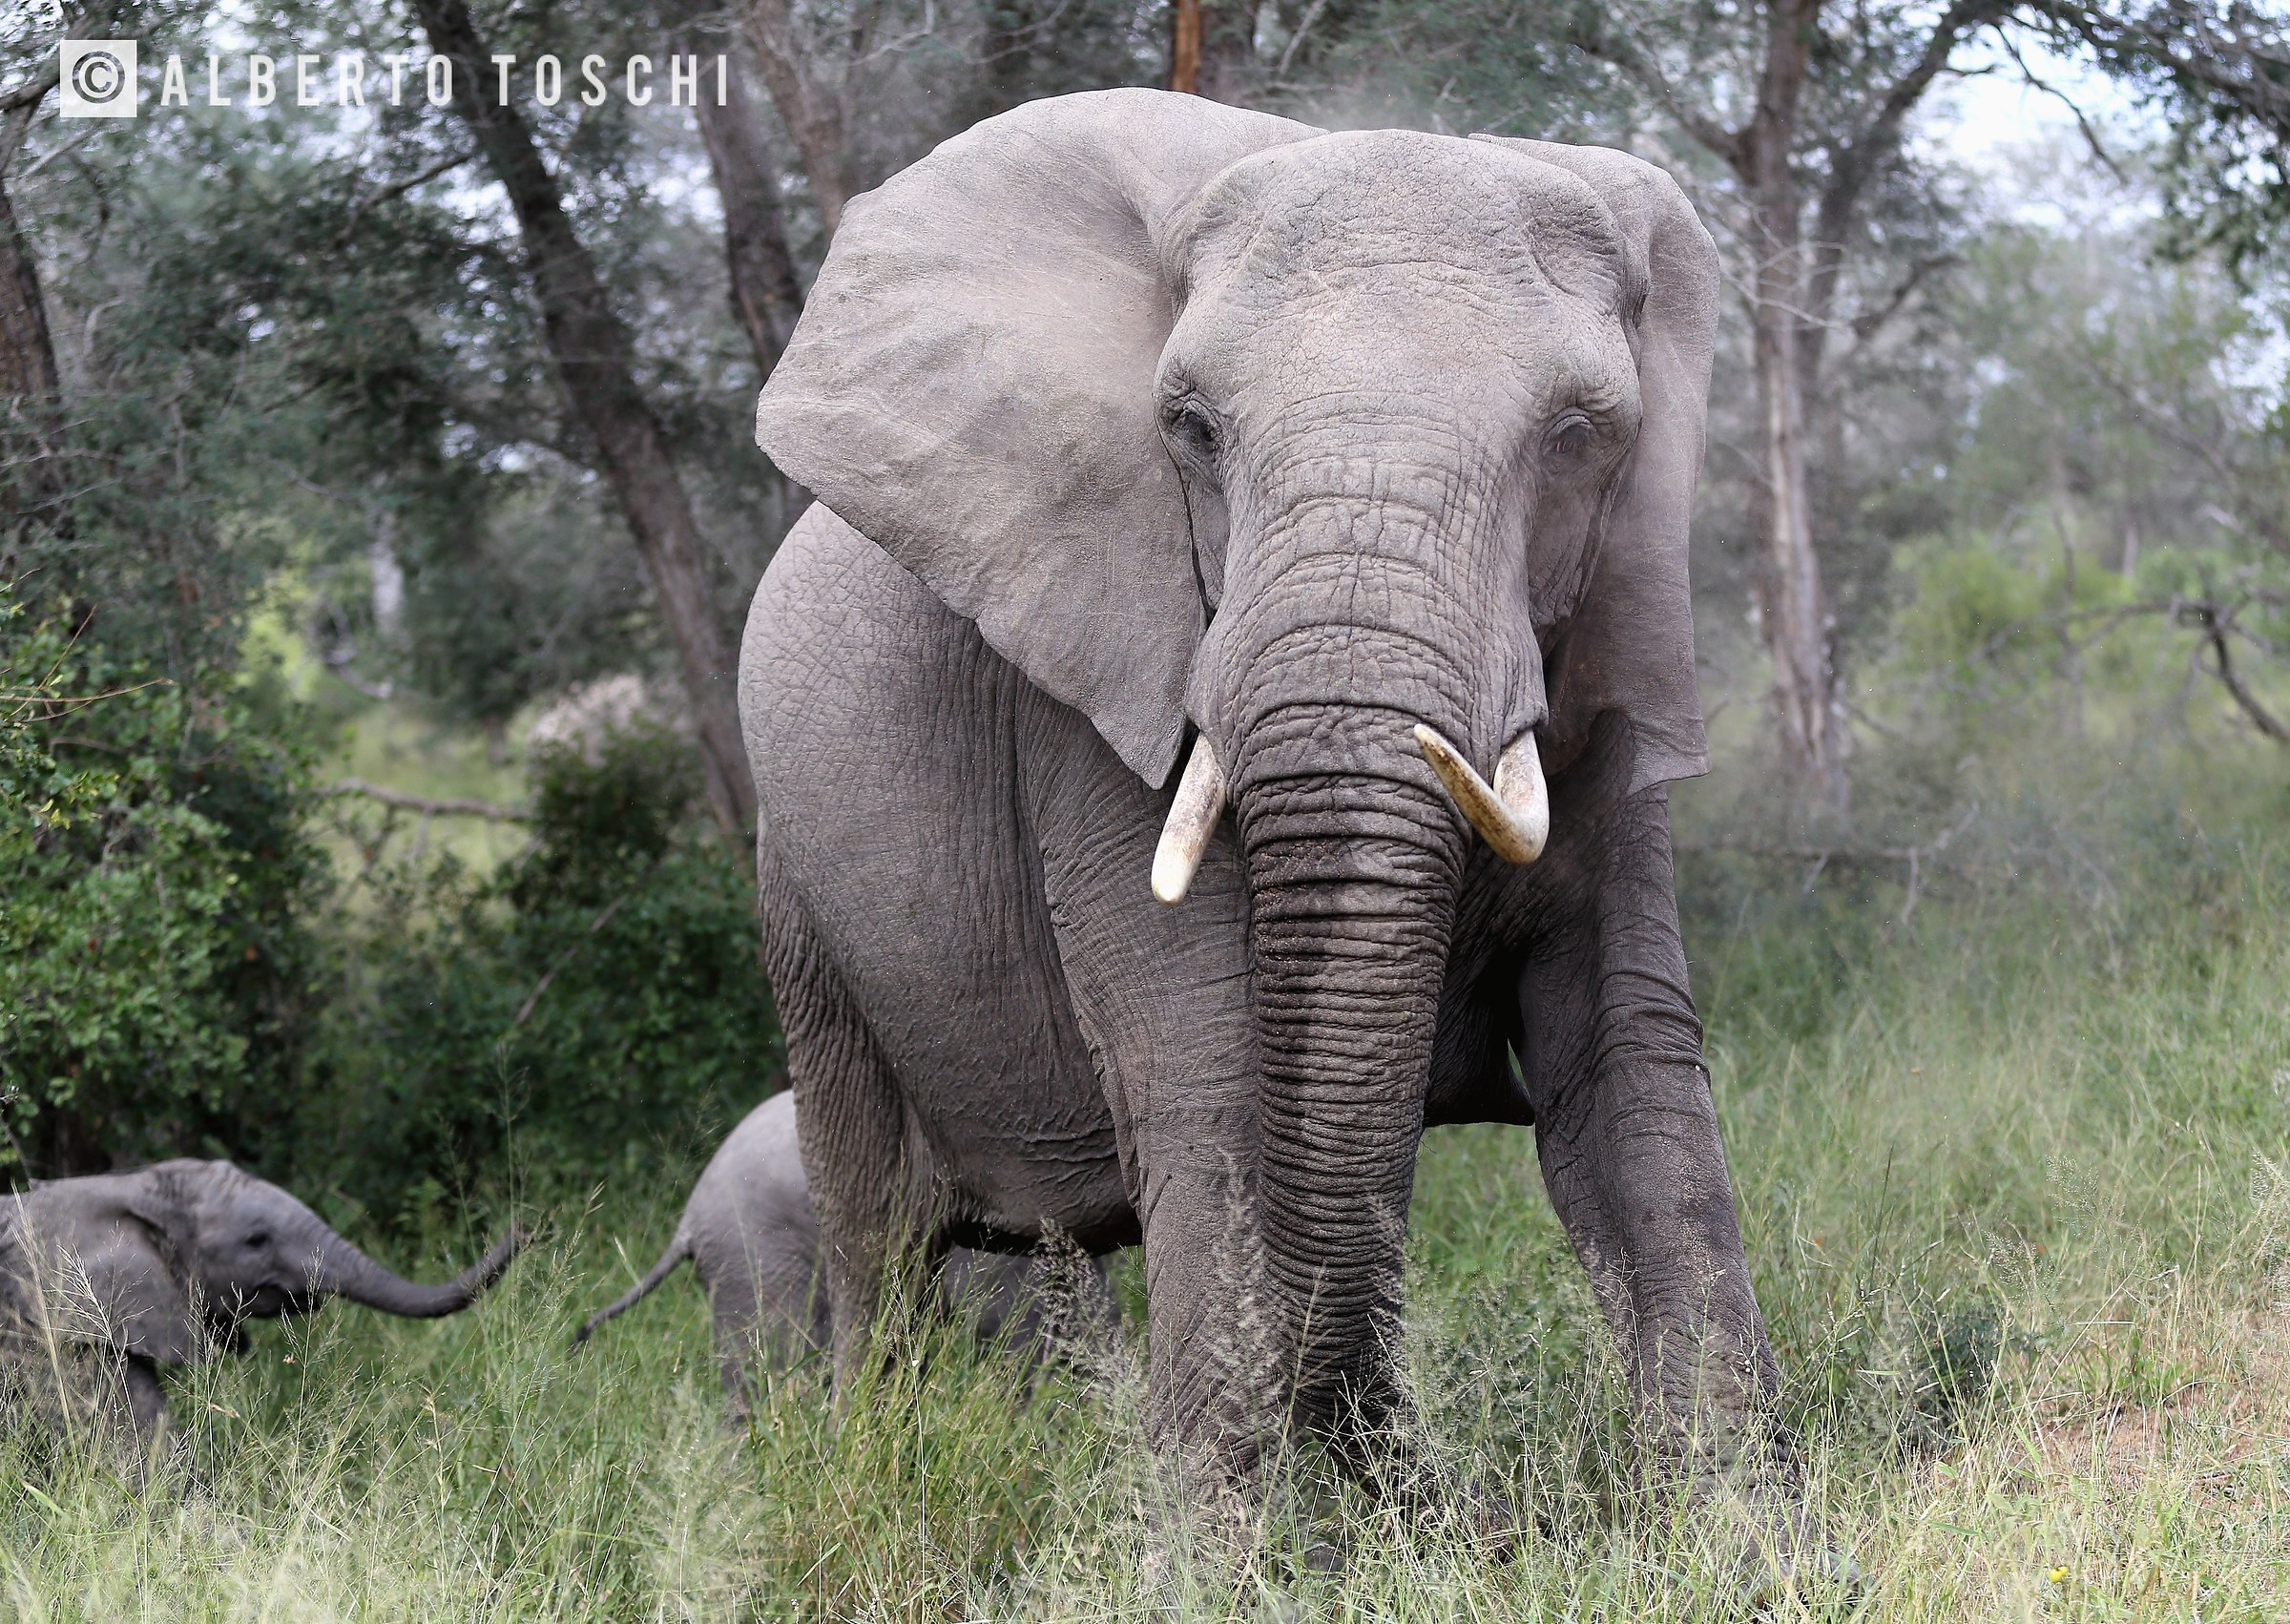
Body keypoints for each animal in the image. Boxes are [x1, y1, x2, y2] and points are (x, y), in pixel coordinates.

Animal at [737, 87, 1800, 1546]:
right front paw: (1216, 1567)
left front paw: (1744, 1539)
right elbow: (1219, 1083)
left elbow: (1628, 1075)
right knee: (875, 1238)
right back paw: (861, 1486)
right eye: (1188, 426)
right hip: (801, 900)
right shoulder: (1097, 688)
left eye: (1584, 433)